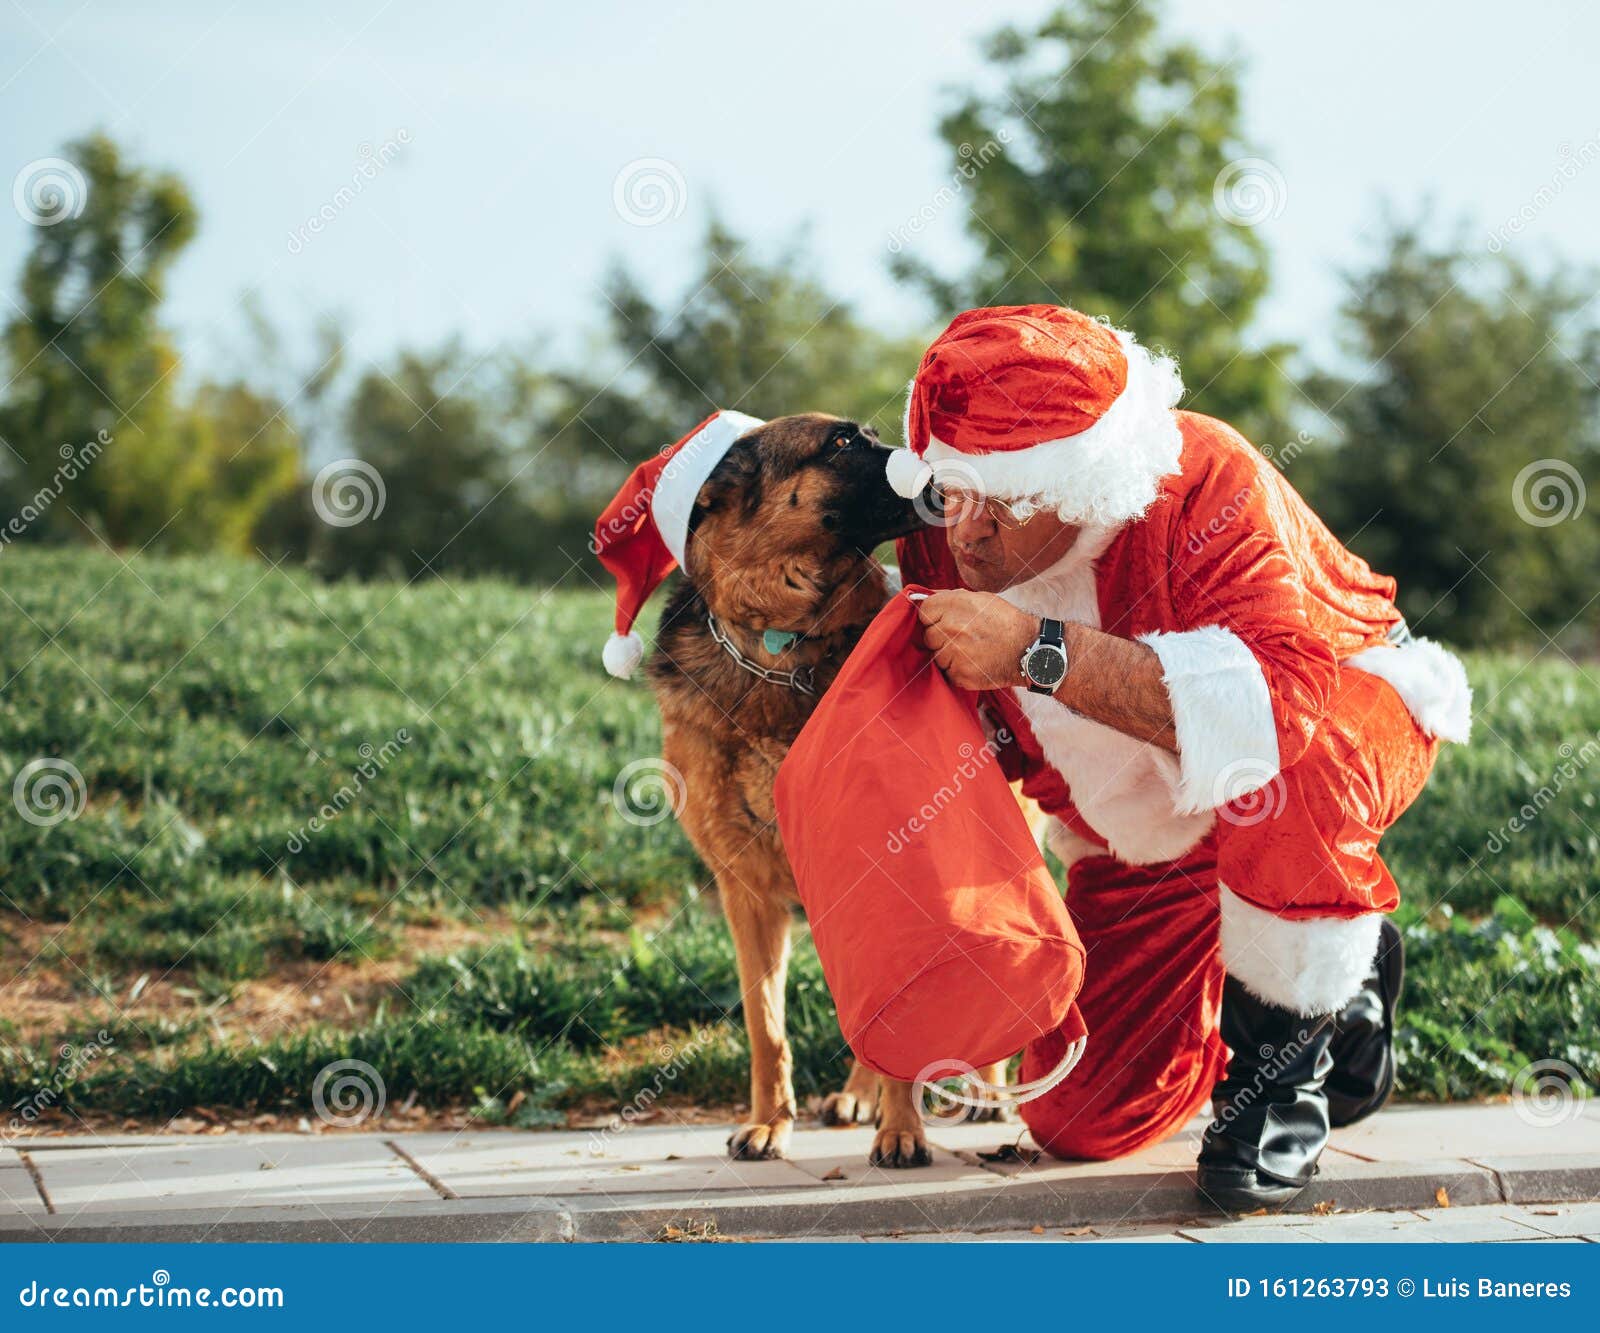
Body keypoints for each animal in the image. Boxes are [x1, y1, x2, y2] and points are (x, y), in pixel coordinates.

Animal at [640, 409, 998, 1158]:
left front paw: (903, 1131)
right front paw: (769, 1121)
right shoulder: (746, 892)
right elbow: (765, 1024)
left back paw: (983, 1089)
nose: (951, 470)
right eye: (841, 443)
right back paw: (860, 1094)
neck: (780, 644)